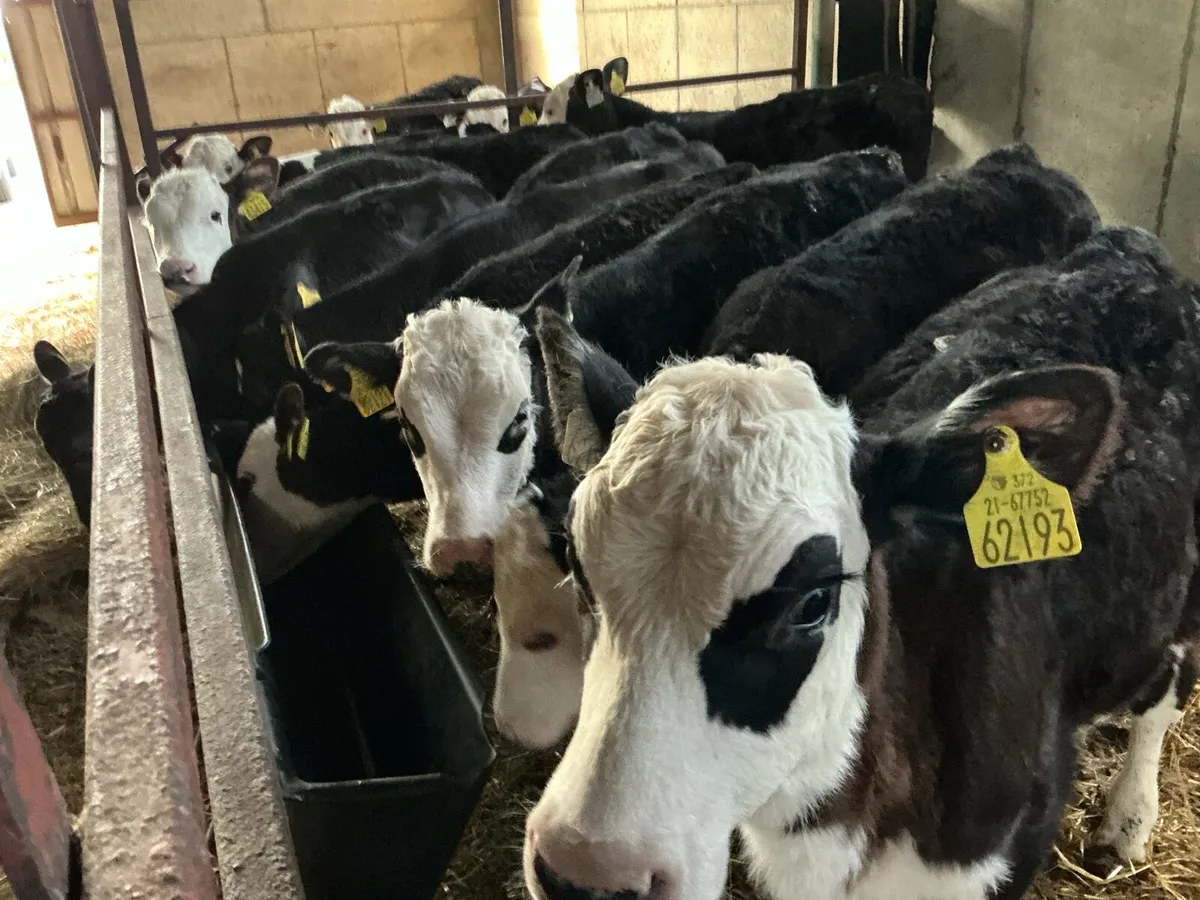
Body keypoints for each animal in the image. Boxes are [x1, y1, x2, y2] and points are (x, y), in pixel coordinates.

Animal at [522, 224, 1200, 900]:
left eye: (814, 601)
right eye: (578, 566)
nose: (585, 875)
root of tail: (1132, 249)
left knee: (1165, 689)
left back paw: (1128, 817)